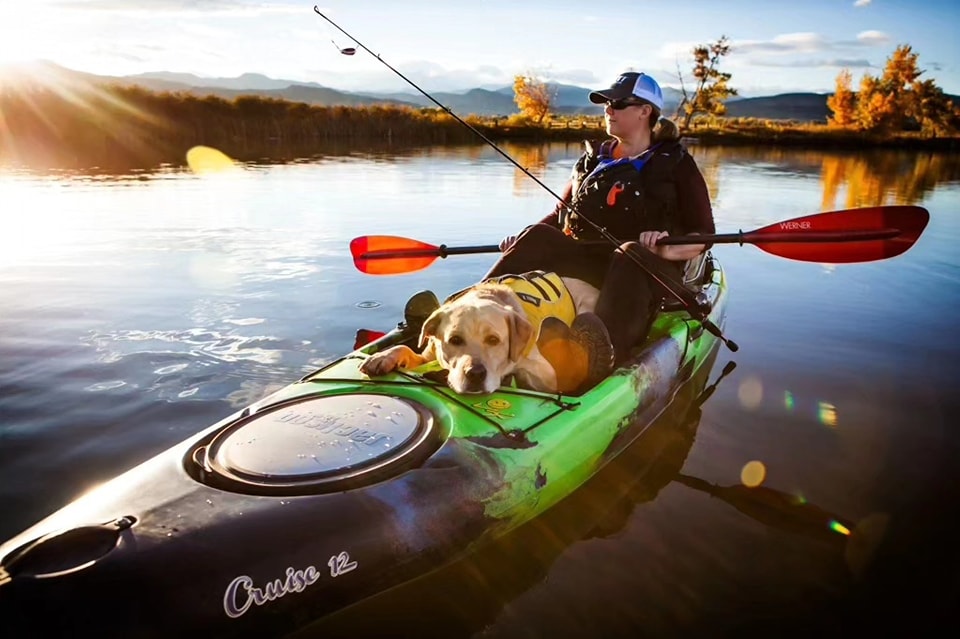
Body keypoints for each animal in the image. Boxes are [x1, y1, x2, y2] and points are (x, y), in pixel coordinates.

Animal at [360, 272, 600, 396]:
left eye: (494, 340)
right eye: (455, 340)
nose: (474, 374)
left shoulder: (545, 374)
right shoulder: (428, 355)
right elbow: (405, 349)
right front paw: (381, 357)